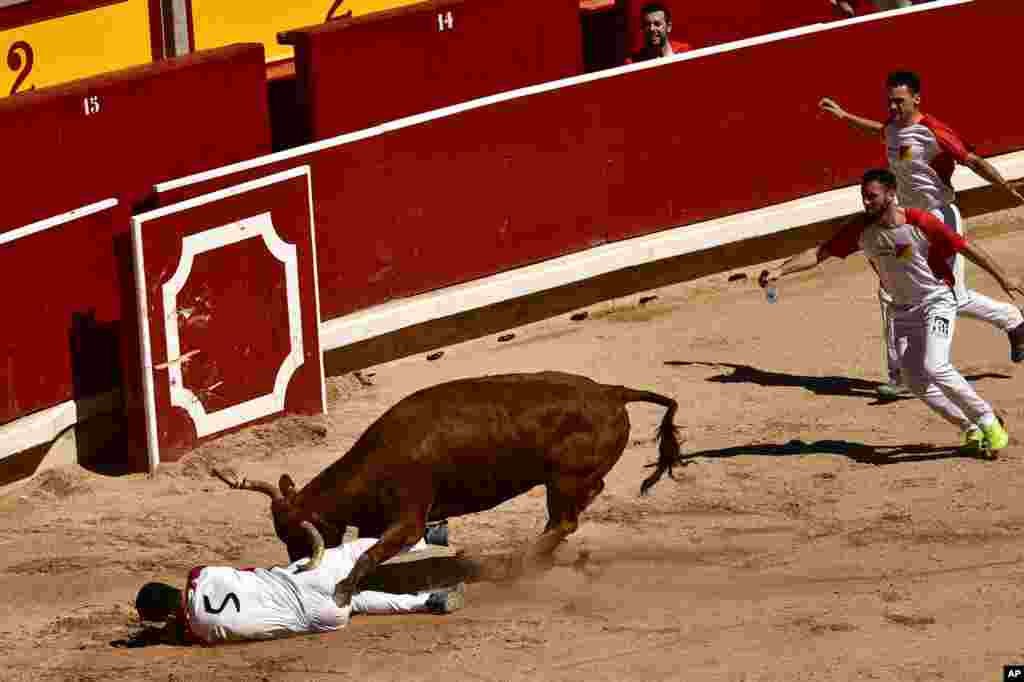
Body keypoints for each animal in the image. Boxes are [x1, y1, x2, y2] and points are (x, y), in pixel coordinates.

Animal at [215, 372, 679, 602]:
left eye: (295, 534)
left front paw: (343, 591)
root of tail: (611, 392)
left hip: (561, 480)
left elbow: (369, 555)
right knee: (578, 507)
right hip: (569, 481)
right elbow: (370, 552)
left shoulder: (409, 520)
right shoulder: (380, 523)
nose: (295, 566)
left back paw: (511, 567)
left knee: (563, 522)